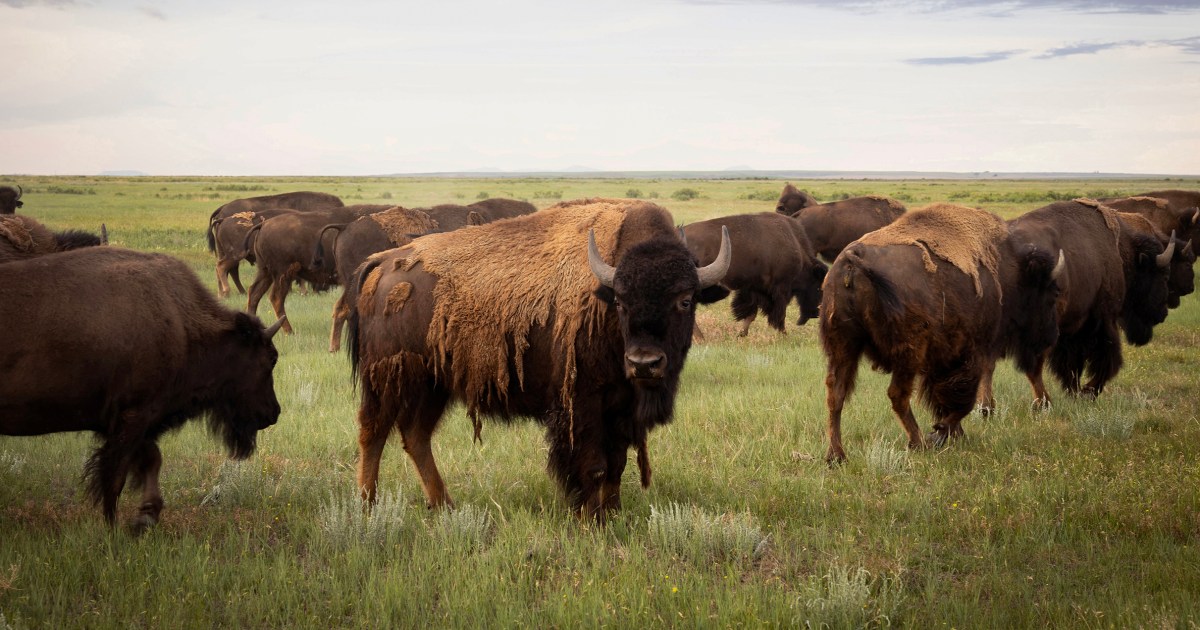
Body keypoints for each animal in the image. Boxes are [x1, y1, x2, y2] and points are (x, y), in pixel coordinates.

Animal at [0, 247, 284, 528]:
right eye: (270, 358)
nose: (273, 413)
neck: (181, 324)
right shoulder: (133, 417)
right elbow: (116, 477)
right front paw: (113, 528)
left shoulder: (138, 424)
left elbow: (151, 460)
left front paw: (146, 516)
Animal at [349, 198, 730, 522]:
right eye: (621, 302)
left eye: (685, 300)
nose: (644, 363)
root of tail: (383, 261)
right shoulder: (581, 405)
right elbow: (594, 465)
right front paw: (590, 520)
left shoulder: (621, 407)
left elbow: (617, 464)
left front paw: (613, 514)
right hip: (390, 380)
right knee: (373, 433)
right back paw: (367, 507)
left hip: (434, 385)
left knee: (416, 436)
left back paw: (444, 506)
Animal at [683, 212, 826, 336]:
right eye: (819, 288)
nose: (817, 312)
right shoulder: (781, 289)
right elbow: (779, 314)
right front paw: (783, 334)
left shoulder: (754, 289)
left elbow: (751, 314)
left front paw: (742, 334)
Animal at [821, 203, 1064, 462]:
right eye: (1051, 293)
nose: (1052, 336)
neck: (1008, 270)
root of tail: (852, 260)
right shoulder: (971, 352)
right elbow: (962, 399)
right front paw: (941, 432)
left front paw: (951, 433)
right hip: (906, 353)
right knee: (897, 395)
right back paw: (918, 442)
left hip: (843, 346)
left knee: (836, 395)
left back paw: (836, 455)